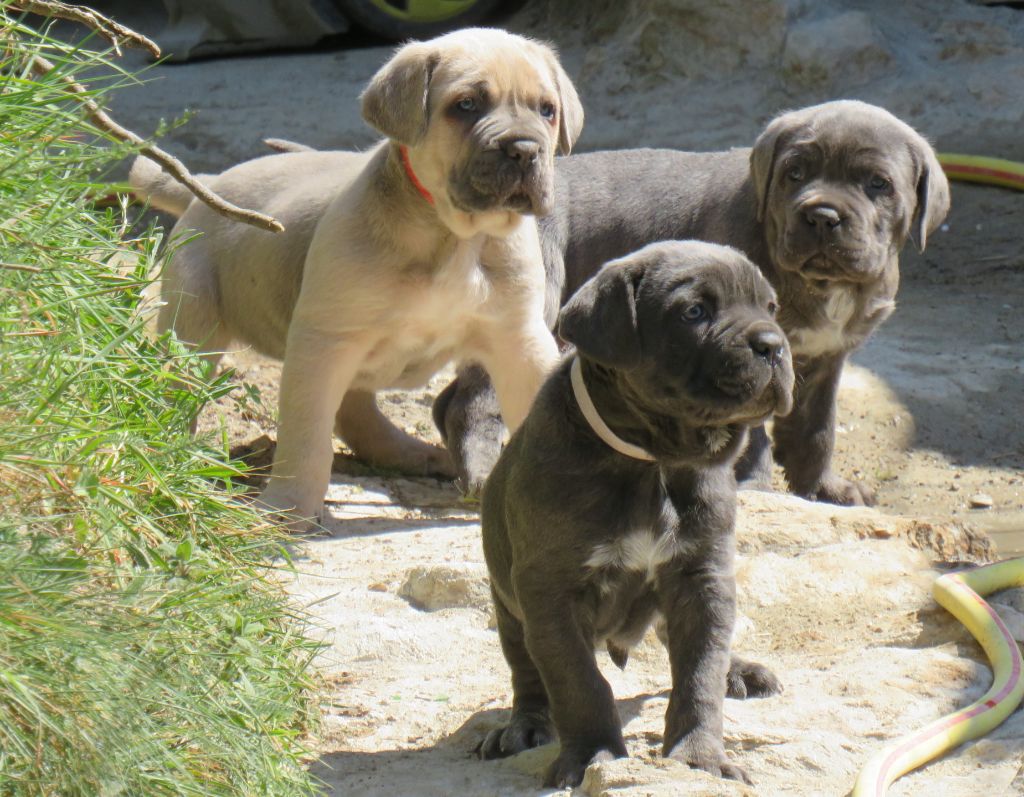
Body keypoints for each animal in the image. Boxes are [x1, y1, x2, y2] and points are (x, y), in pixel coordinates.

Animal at [434, 99, 950, 504]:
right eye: (795, 173)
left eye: (877, 184)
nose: (822, 216)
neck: (822, 284)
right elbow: (754, 431)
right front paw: (756, 485)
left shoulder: (825, 360)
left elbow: (816, 429)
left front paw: (822, 488)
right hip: (528, 315)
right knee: (474, 404)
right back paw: (482, 475)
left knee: (449, 400)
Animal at [475, 238, 794, 786]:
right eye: (694, 311)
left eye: (770, 307)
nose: (773, 344)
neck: (655, 463)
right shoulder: (549, 593)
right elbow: (579, 682)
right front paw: (592, 754)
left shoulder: (702, 576)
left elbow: (699, 675)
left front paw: (700, 757)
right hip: (509, 606)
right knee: (529, 674)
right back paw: (525, 727)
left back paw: (739, 671)